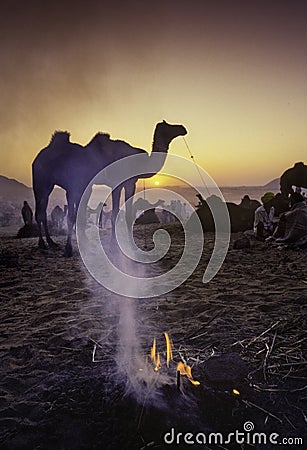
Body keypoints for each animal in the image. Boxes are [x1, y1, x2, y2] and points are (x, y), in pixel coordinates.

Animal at [33, 121, 188, 255]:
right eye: (168, 126)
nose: (182, 128)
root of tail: (38, 157)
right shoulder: (117, 183)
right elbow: (114, 213)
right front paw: (114, 246)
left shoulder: (130, 182)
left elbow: (128, 213)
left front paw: (132, 246)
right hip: (42, 182)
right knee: (42, 211)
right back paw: (47, 244)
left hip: (56, 185)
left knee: (49, 211)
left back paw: (52, 243)